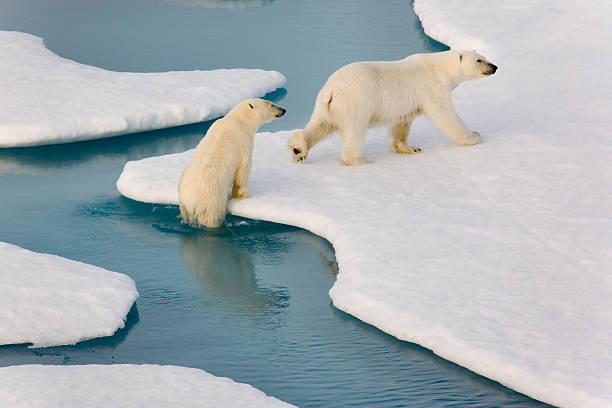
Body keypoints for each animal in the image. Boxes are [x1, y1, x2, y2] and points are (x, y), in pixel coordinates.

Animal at [178, 97, 286, 228]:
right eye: (271, 104)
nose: (283, 110)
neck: (237, 120)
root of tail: (190, 200)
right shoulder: (244, 141)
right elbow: (243, 170)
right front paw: (244, 196)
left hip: (182, 197)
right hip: (212, 200)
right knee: (214, 217)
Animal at [290, 50, 498, 165]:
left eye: (484, 57)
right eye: (479, 60)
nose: (495, 67)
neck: (439, 68)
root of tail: (331, 89)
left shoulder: (407, 104)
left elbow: (402, 122)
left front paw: (410, 148)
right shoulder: (431, 87)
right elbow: (445, 115)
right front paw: (474, 135)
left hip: (327, 105)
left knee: (321, 125)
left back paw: (298, 150)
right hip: (355, 102)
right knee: (354, 131)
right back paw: (358, 160)